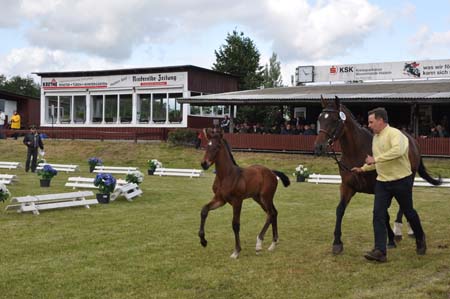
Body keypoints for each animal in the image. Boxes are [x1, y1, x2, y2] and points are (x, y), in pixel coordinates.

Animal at [199, 127, 290, 258]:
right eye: (207, 145)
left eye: (217, 147)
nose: (204, 164)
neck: (226, 176)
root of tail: (272, 172)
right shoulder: (220, 200)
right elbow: (204, 210)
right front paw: (203, 241)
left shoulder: (237, 201)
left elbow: (235, 224)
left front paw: (236, 251)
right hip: (258, 198)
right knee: (272, 213)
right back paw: (271, 244)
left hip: (266, 197)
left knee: (272, 213)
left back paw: (261, 244)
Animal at [312, 96, 440, 255]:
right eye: (320, 119)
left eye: (335, 120)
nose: (318, 147)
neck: (356, 152)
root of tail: (412, 140)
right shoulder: (347, 187)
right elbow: (340, 210)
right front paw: (337, 243)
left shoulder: (378, 188)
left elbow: (384, 214)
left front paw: (390, 240)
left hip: (407, 181)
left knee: (405, 205)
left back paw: (402, 231)